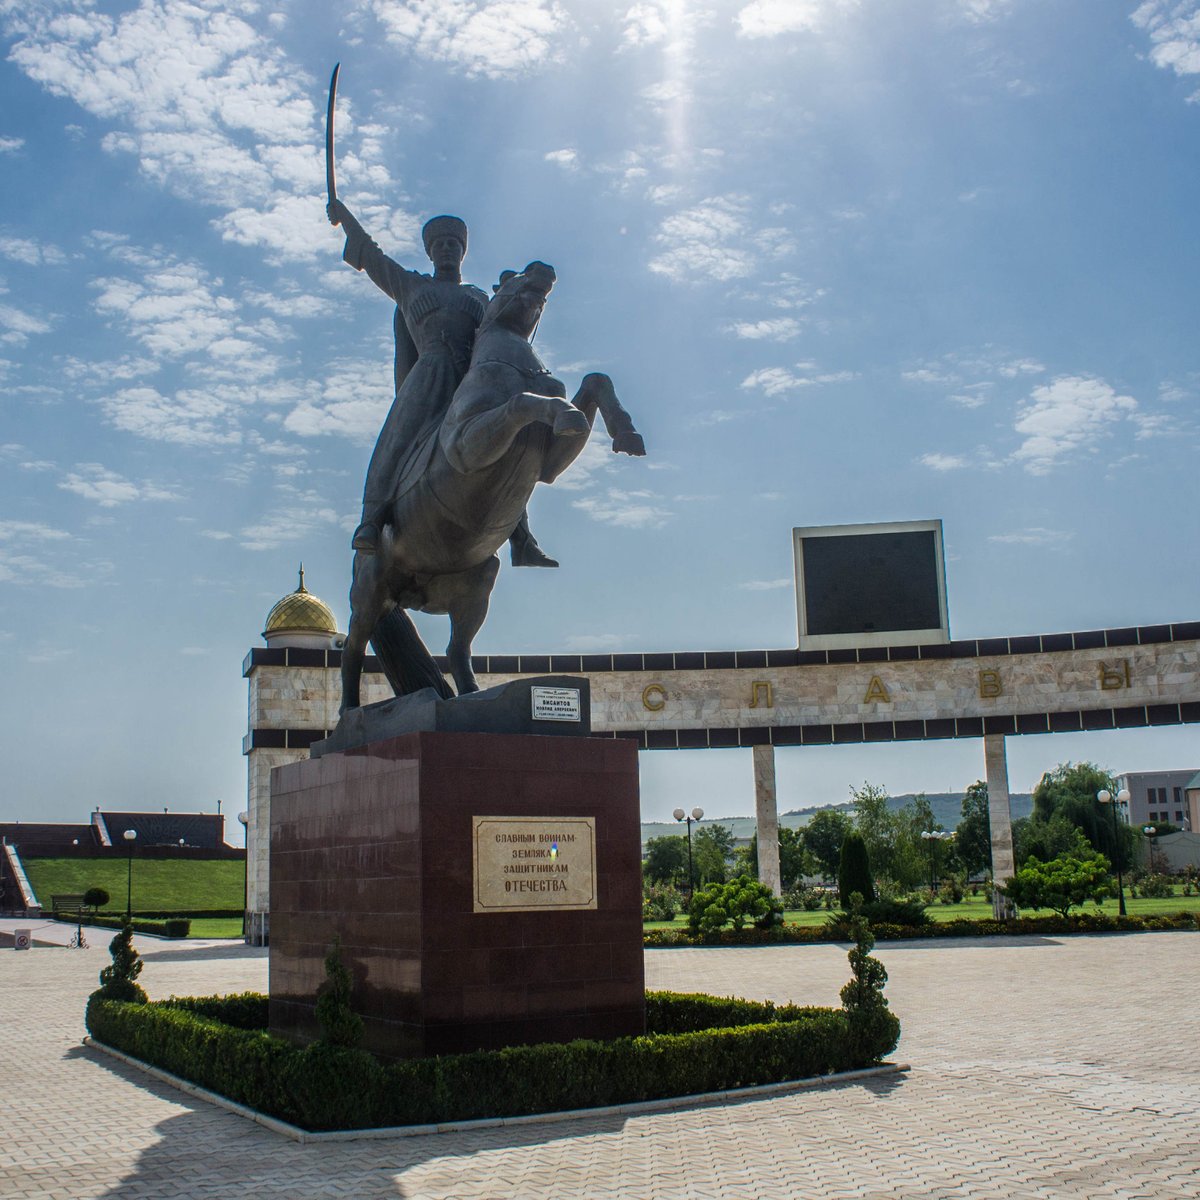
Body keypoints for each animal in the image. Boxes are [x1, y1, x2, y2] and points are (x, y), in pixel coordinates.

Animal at [340, 262, 648, 710]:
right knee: (352, 648)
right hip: (370, 594)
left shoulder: (549, 463)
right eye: (509, 275)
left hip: (478, 585)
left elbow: (595, 380)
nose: (543, 269)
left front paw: (626, 435)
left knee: (457, 648)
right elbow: (524, 401)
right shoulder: (466, 446)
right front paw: (568, 412)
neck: (513, 367)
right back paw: (349, 708)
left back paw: (469, 695)